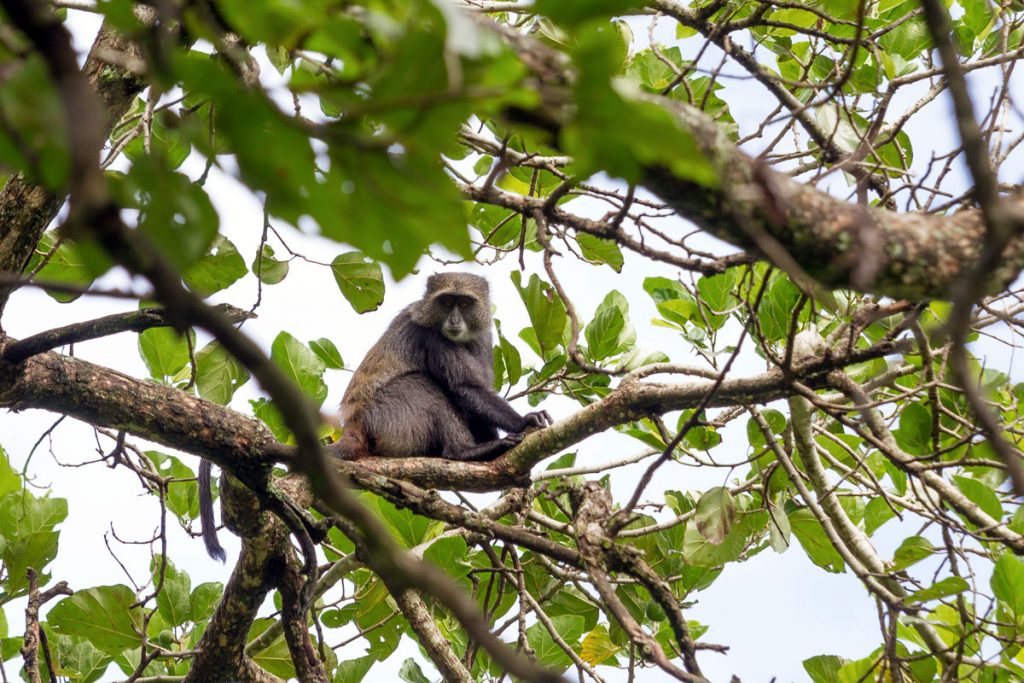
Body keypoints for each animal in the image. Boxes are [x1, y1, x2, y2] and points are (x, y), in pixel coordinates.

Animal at [337, 270, 552, 458]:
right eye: (447, 302)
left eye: (464, 304)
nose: (454, 321)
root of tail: (353, 426)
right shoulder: (430, 336)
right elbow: (467, 387)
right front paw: (523, 421)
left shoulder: (484, 340)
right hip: (386, 417)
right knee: (420, 383)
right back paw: (464, 451)